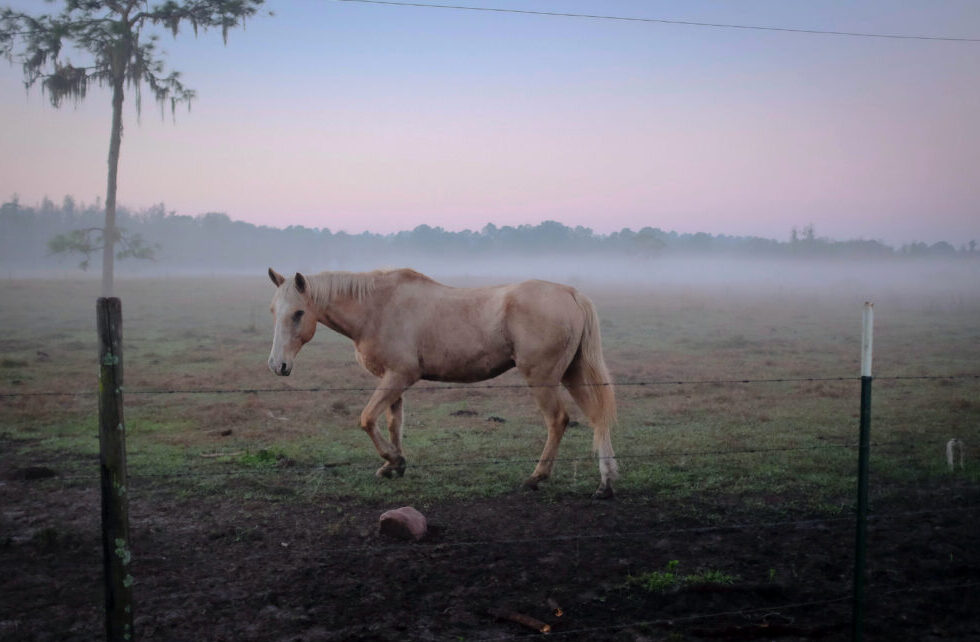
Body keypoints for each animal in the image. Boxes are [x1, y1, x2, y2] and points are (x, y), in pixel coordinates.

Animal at [266, 264, 620, 496]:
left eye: (298, 313)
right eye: (273, 311)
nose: (277, 365)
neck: (377, 308)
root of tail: (570, 293)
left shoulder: (400, 376)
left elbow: (367, 419)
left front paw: (393, 460)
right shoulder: (393, 380)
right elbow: (393, 423)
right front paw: (394, 466)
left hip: (543, 379)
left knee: (558, 420)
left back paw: (537, 477)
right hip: (572, 374)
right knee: (597, 418)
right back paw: (606, 482)